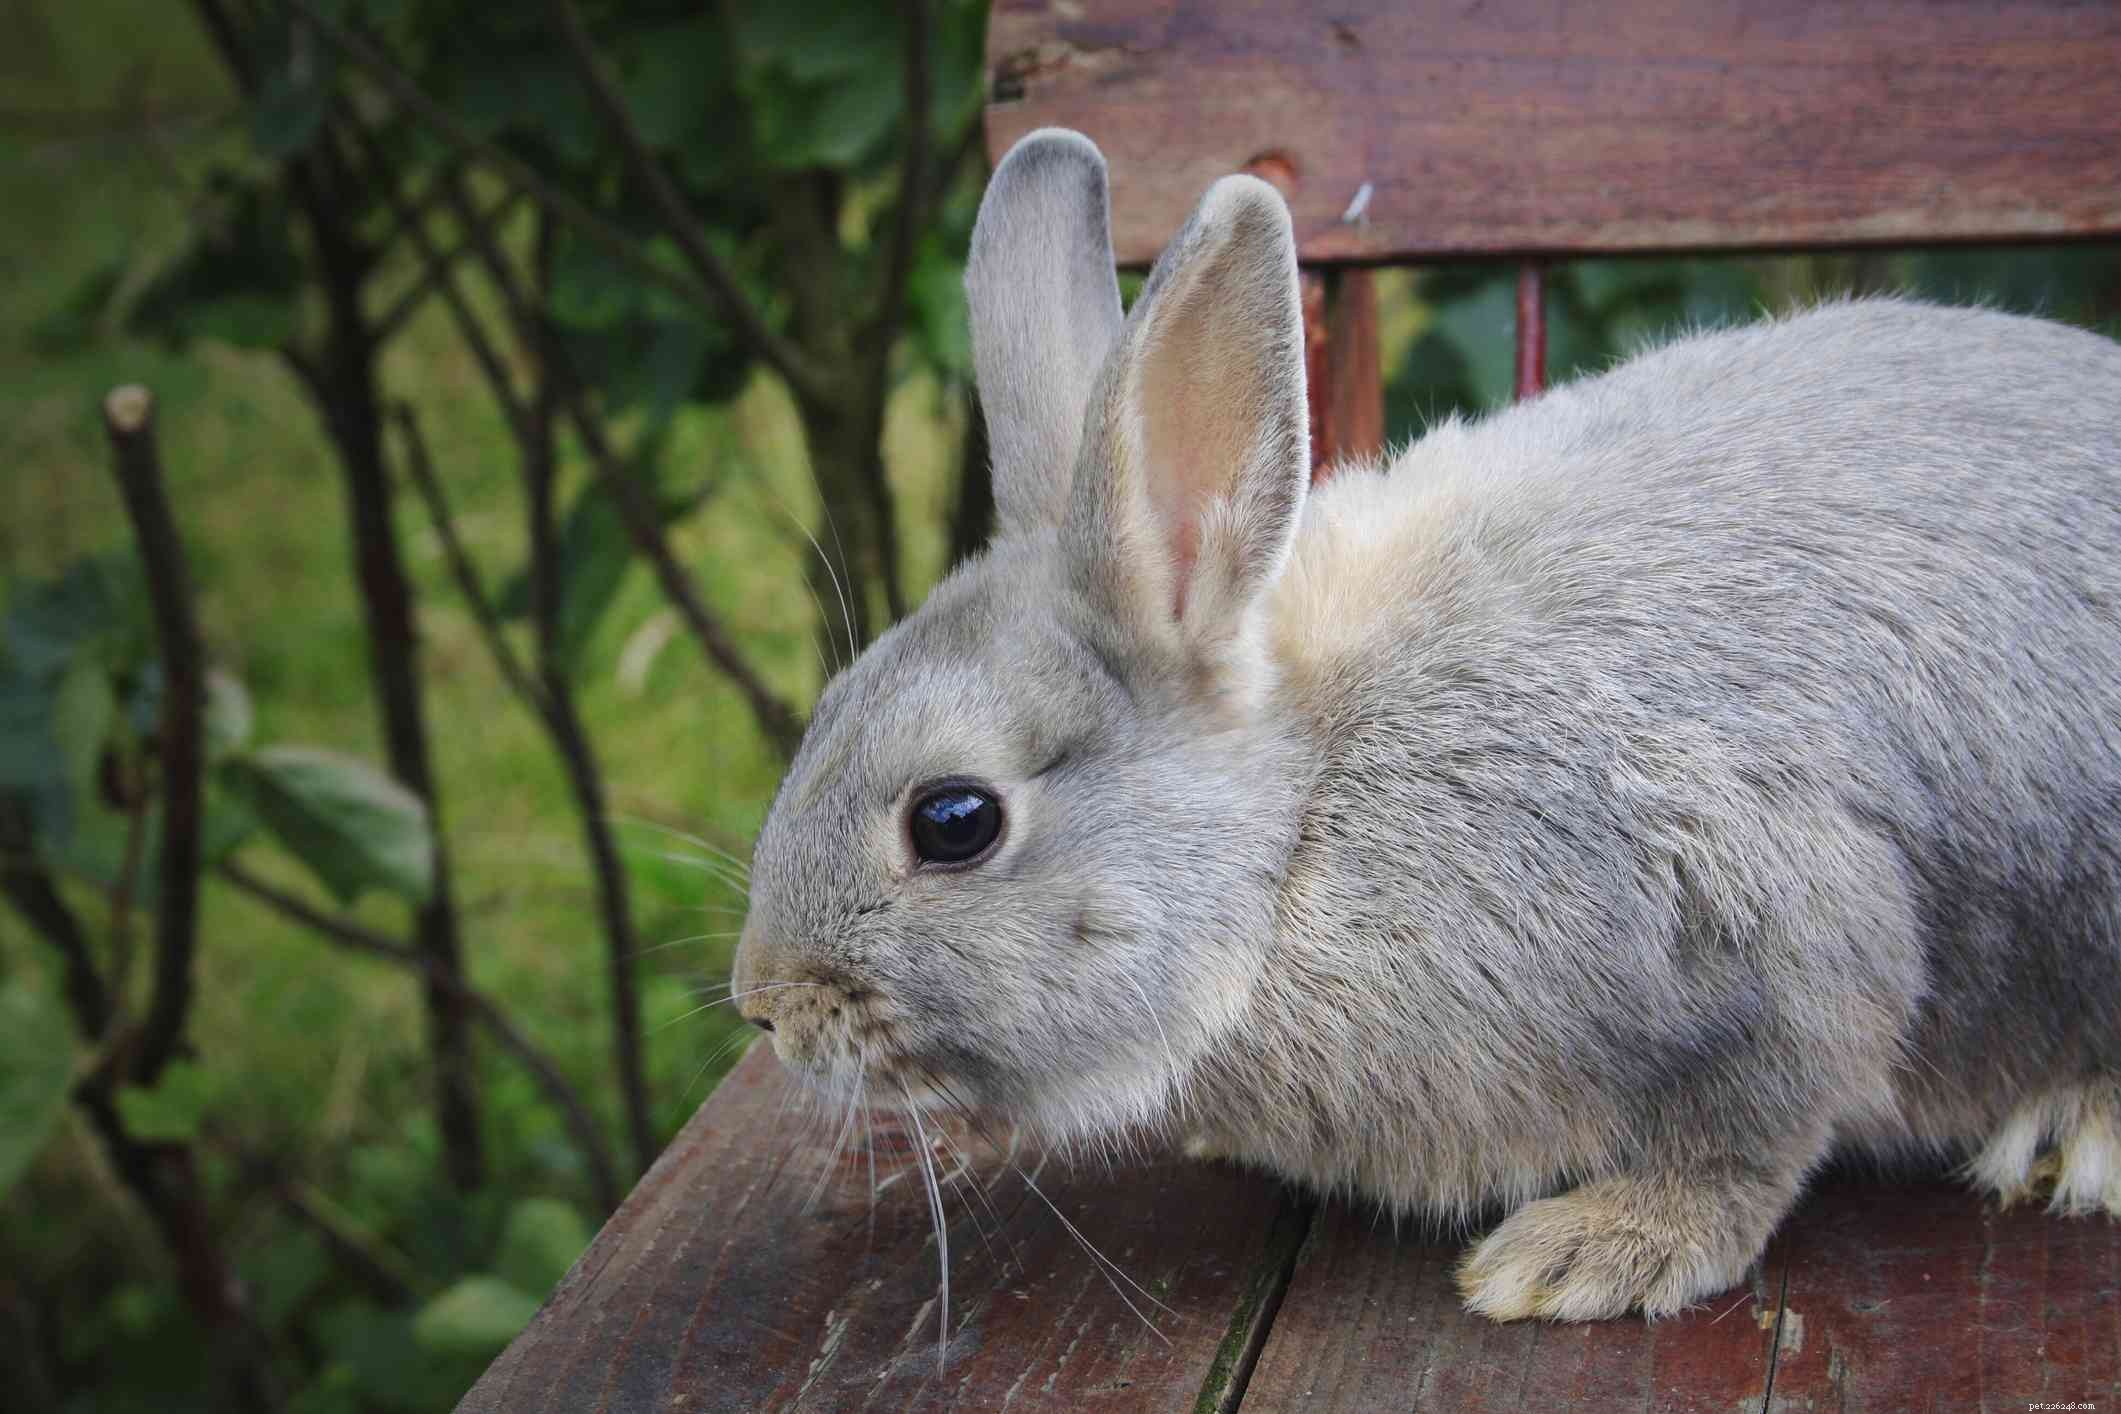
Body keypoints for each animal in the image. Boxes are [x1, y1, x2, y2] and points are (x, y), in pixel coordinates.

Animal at [732, 126, 2121, 1323]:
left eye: (953, 819)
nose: (763, 1007)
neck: (1302, 823)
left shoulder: (1781, 918)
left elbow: (1752, 1134)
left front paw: (1582, 1257)